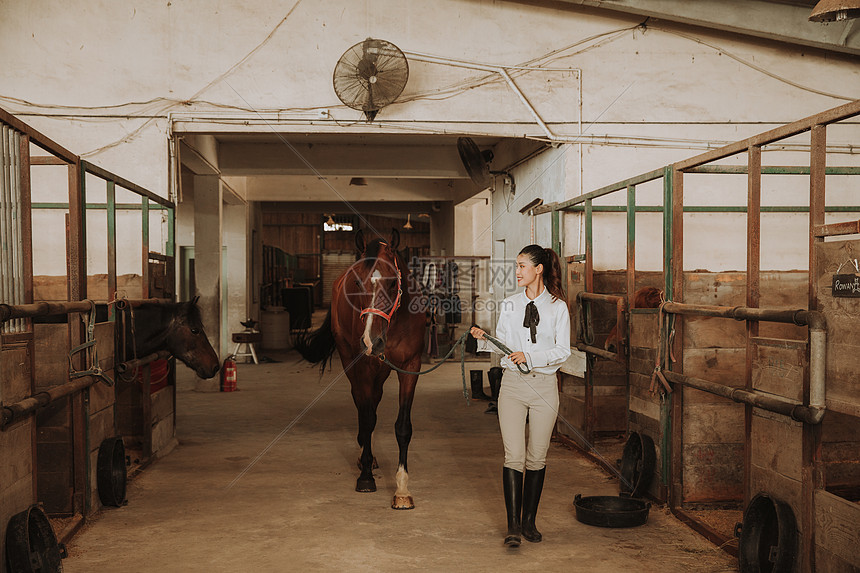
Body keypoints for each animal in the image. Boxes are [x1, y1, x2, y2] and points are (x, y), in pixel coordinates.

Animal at [296, 228, 426, 510]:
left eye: (393, 283)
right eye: (357, 284)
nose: (370, 341)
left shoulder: (410, 367)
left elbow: (402, 427)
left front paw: (401, 489)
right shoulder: (365, 366)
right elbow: (366, 418)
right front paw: (365, 477)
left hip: (381, 370)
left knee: (373, 403)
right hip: (351, 362)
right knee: (362, 404)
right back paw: (364, 457)